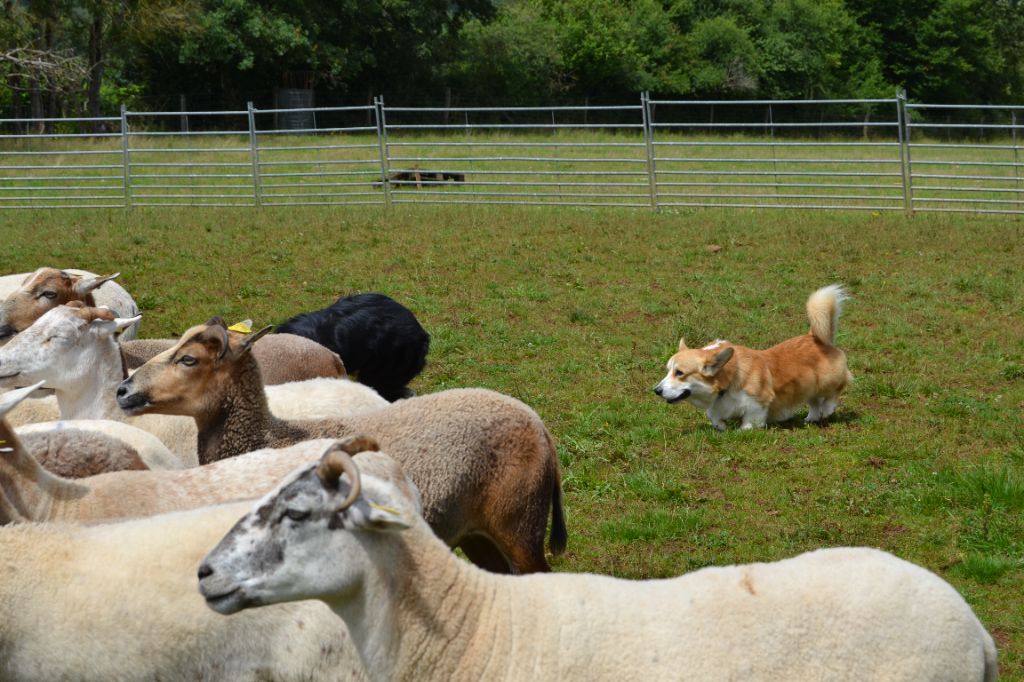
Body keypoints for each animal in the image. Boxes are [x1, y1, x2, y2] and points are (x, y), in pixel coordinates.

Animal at [120, 315, 573, 569]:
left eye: (188, 359)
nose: (123, 390)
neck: (268, 435)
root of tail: (536, 422)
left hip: (520, 524)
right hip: (477, 532)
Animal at [659, 284, 851, 428]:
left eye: (679, 373)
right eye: (668, 371)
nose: (656, 390)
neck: (729, 378)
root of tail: (816, 337)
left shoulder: (758, 403)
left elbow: (750, 422)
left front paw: (742, 430)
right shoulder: (717, 408)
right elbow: (715, 418)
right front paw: (721, 427)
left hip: (827, 381)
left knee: (835, 391)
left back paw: (827, 409)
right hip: (807, 385)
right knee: (814, 402)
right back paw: (811, 418)